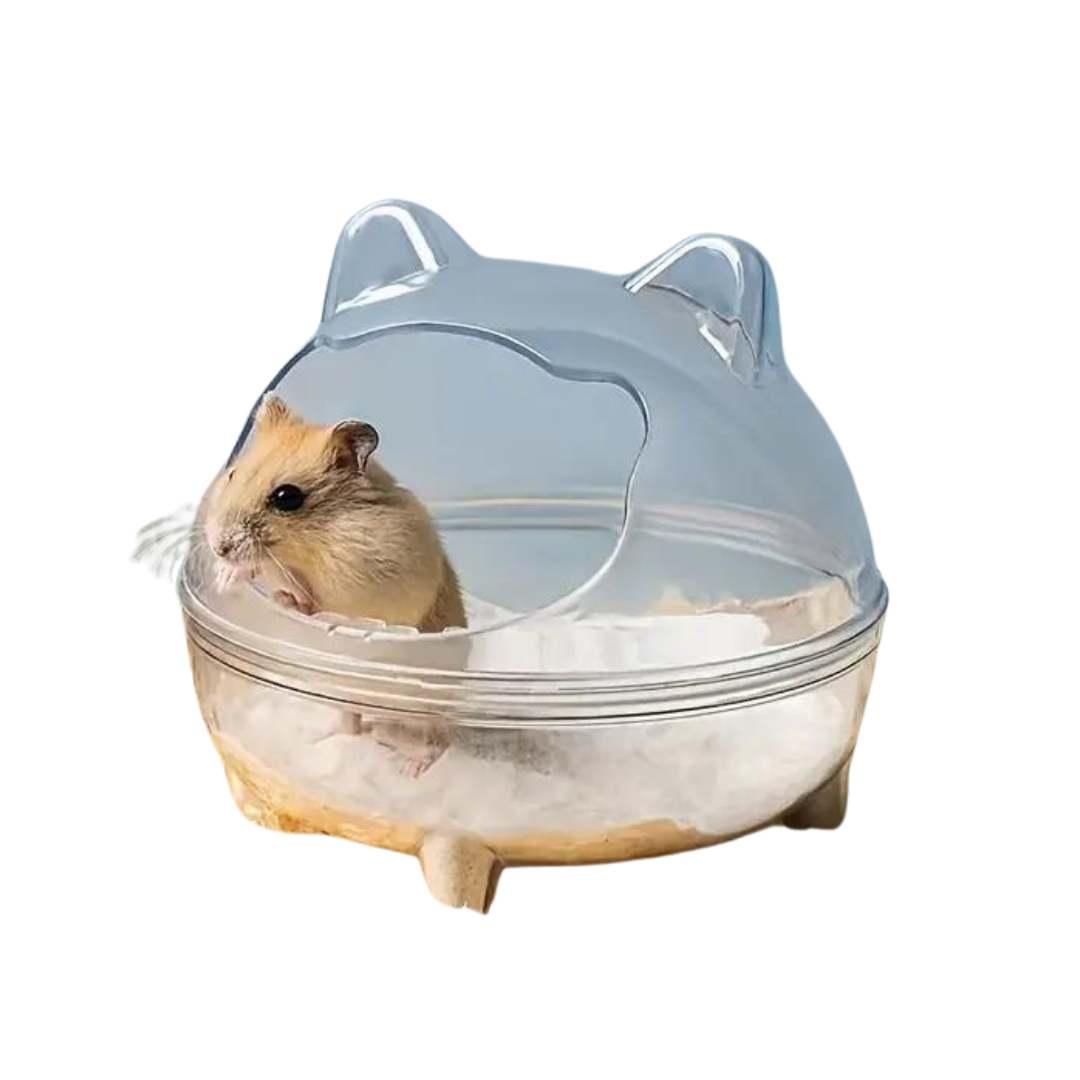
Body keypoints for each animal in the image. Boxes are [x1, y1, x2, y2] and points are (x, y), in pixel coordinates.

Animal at [200, 394, 466, 775]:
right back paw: (320, 736)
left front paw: (285, 595)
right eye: (234, 473)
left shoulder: (364, 583)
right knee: (351, 724)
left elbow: (310, 598)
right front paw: (227, 576)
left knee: (436, 741)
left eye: (287, 497)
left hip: (423, 707)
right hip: (342, 695)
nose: (218, 546)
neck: (312, 541)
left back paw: (408, 765)